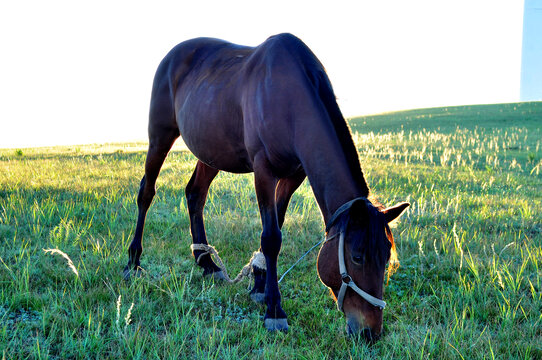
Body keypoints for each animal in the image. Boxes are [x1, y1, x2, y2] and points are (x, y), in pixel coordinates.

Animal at [125, 32, 410, 338]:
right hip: (160, 137)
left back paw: (207, 263)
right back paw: (133, 262)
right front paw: (274, 309)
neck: (290, 101)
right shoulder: (263, 170)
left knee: (195, 194)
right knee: (146, 192)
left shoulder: (294, 175)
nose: (370, 332)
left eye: (386, 258)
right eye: (357, 257)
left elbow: (276, 225)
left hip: (211, 152)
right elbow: (272, 237)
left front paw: (260, 284)